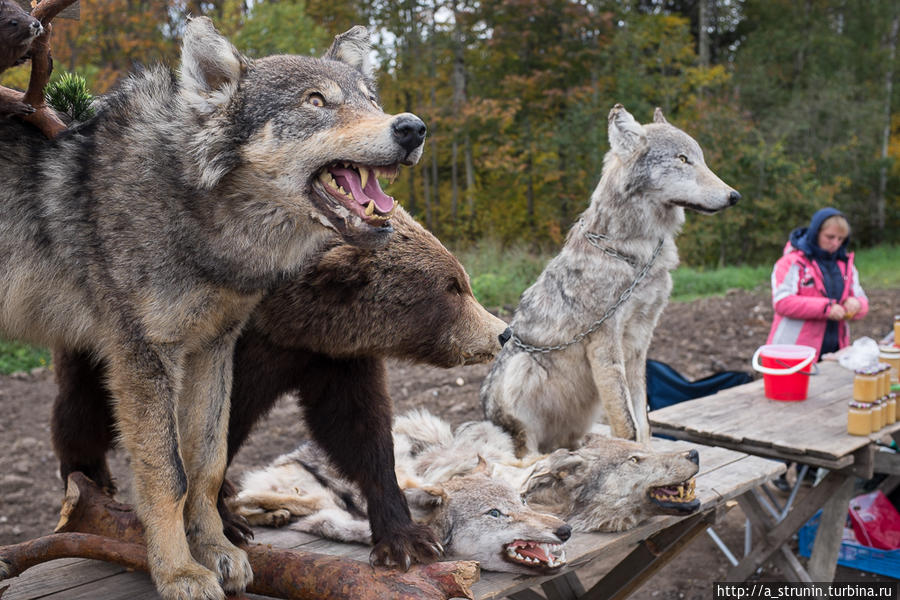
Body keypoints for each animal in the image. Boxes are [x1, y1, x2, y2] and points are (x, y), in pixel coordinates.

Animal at [0, 18, 428, 600]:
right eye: (316, 102)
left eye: (371, 100)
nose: (412, 128)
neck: (185, 198)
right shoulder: (144, 358)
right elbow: (168, 474)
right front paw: (177, 572)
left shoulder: (213, 347)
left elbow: (207, 464)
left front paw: (217, 552)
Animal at [51, 207, 506, 564]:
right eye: (451, 287)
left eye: (460, 279)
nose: (501, 332)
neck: (283, 318)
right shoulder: (227, 348)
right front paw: (225, 524)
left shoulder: (329, 355)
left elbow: (360, 430)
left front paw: (407, 539)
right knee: (87, 405)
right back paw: (88, 475)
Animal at [482, 104, 740, 454]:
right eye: (683, 159)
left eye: (700, 159)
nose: (735, 195)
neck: (635, 256)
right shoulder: (605, 342)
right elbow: (627, 425)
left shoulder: (640, 340)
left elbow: (644, 421)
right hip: (522, 367)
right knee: (525, 444)